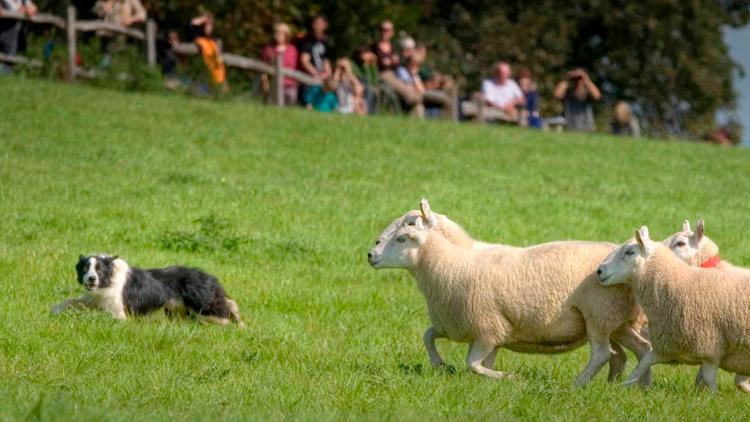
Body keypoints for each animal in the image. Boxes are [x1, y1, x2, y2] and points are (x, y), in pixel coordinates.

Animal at [53, 254, 247, 326]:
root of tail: (209, 276)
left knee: (227, 307)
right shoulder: (94, 299)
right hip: (179, 310)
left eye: (99, 269)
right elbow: (71, 301)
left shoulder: (117, 310)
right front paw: (54, 310)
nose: (91, 279)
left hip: (202, 305)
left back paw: (240, 324)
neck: (108, 279)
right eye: (86, 268)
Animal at [370, 199, 652, 384]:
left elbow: (473, 364)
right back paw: (631, 387)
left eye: (404, 235)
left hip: (598, 315)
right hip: (617, 321)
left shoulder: (487, 328)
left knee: (603, 354)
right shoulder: (464, 327)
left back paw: (579, 384)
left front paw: (509, 377)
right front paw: (443, 366)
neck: (455, 261)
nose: (370, 254)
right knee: (639, 350)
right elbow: (429, 336)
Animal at [604, 226, 750, 390]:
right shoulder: (667, 346)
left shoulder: (710, 350)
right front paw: (621, 388)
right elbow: (643, 364)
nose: (599, 270)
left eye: (629, 252)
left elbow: (710, 382)